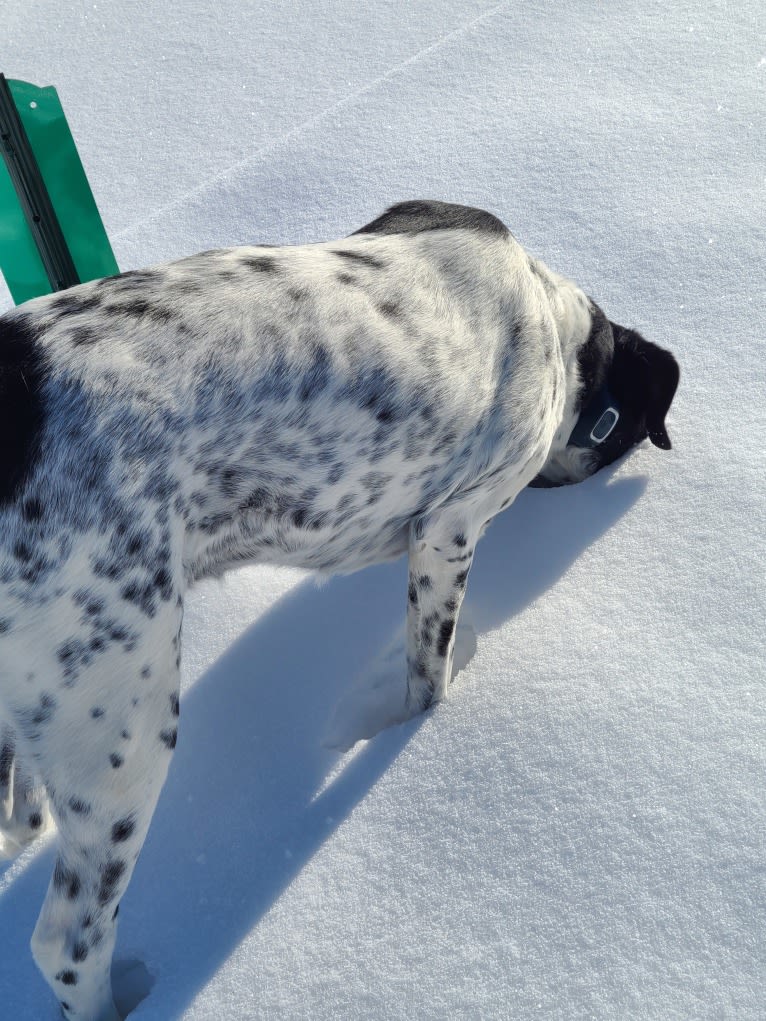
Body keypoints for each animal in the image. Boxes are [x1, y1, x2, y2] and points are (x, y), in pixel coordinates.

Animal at [0, 201, 682, 1021]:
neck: (557, 323)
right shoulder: (448, 529)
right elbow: (430, 671)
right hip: (121, 728)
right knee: (67, 944)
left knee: (19, 816)